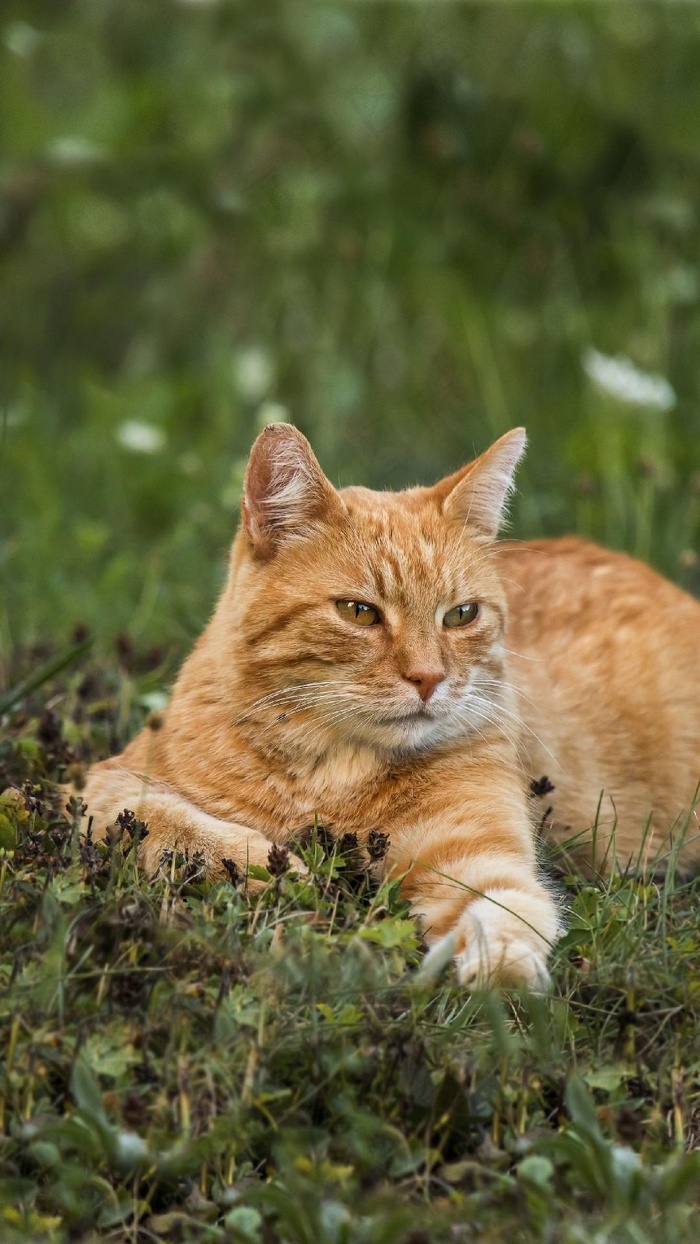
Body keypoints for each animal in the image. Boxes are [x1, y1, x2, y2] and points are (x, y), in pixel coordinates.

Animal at [76, 427, 700, 990]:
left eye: (461, 615)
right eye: (359, 612)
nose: (429, 678)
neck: (329, 773)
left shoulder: (478, 854)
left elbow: (505, 913)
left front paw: (502, 979)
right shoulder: (101, 787)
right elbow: (177, 826)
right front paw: (277, 868)